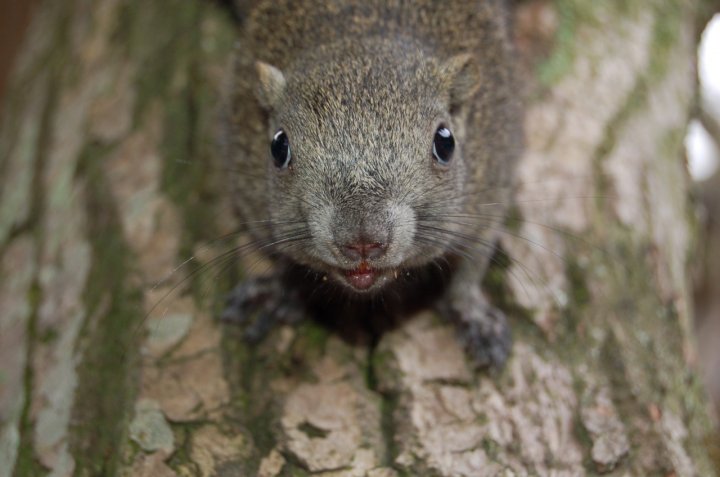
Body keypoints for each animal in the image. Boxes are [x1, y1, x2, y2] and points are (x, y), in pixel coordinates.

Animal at [221, 0, 524, 368]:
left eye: (445, 142)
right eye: (279, 147)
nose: (363, 242)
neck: (364, 32)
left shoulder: (493, 183)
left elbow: (474, 260)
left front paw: (472, 312)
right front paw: (283, 288)